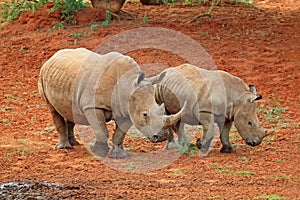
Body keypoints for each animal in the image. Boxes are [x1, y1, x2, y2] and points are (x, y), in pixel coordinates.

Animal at [38, 48, 184, 158]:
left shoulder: (128, 110)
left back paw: (73, 143)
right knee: (53, 109)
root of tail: (52, 57)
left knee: (69, 110)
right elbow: (101, 130)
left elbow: (119, 134)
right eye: (145, 114)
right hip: (42, 75)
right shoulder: (92, 106)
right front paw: (97, 151)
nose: (162, 137)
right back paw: (64, 148)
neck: (127, 86)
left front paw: (119, 155)